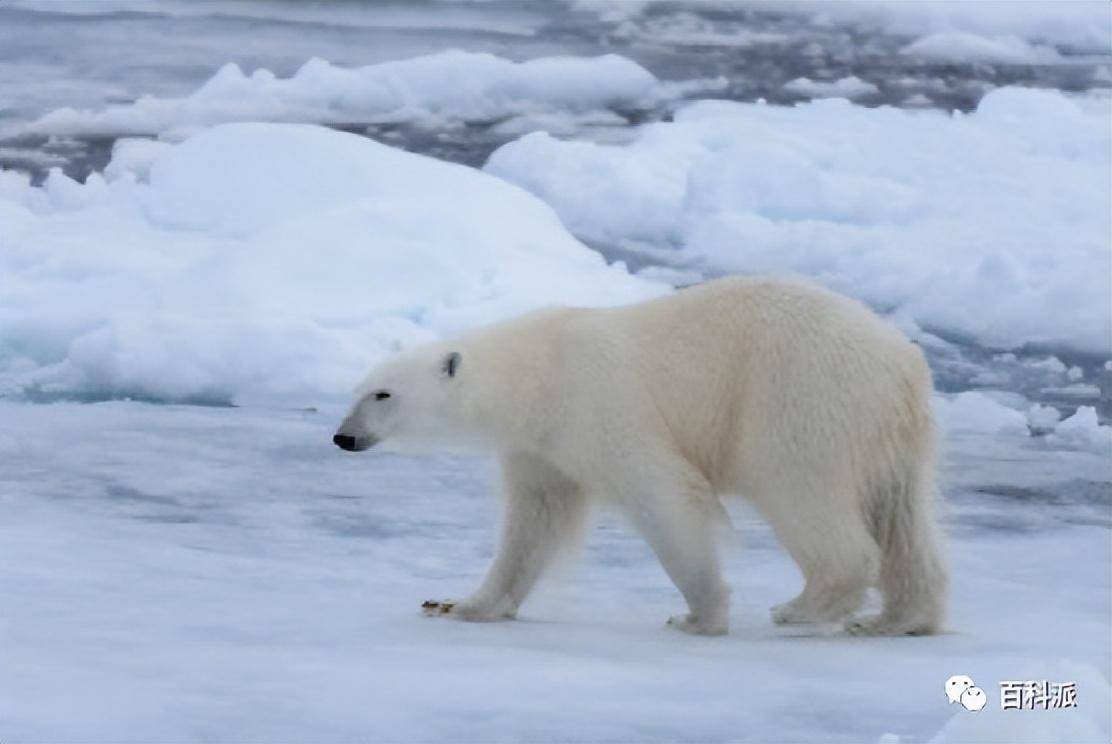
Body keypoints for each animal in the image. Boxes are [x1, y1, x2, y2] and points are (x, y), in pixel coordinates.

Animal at [335, 275, 947, 636]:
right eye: (357, 390)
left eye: (382, 395)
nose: (342, 438)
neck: (540, 372)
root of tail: (904, 365)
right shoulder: (542, 447)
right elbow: (533, 523)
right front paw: (470, 604)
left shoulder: (600, 404)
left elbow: (662, 496)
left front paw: (698, 614)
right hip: (889, 434)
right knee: (903, 518)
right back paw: (895, 619)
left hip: (800, 398)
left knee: (803, 494)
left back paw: (802, 606)